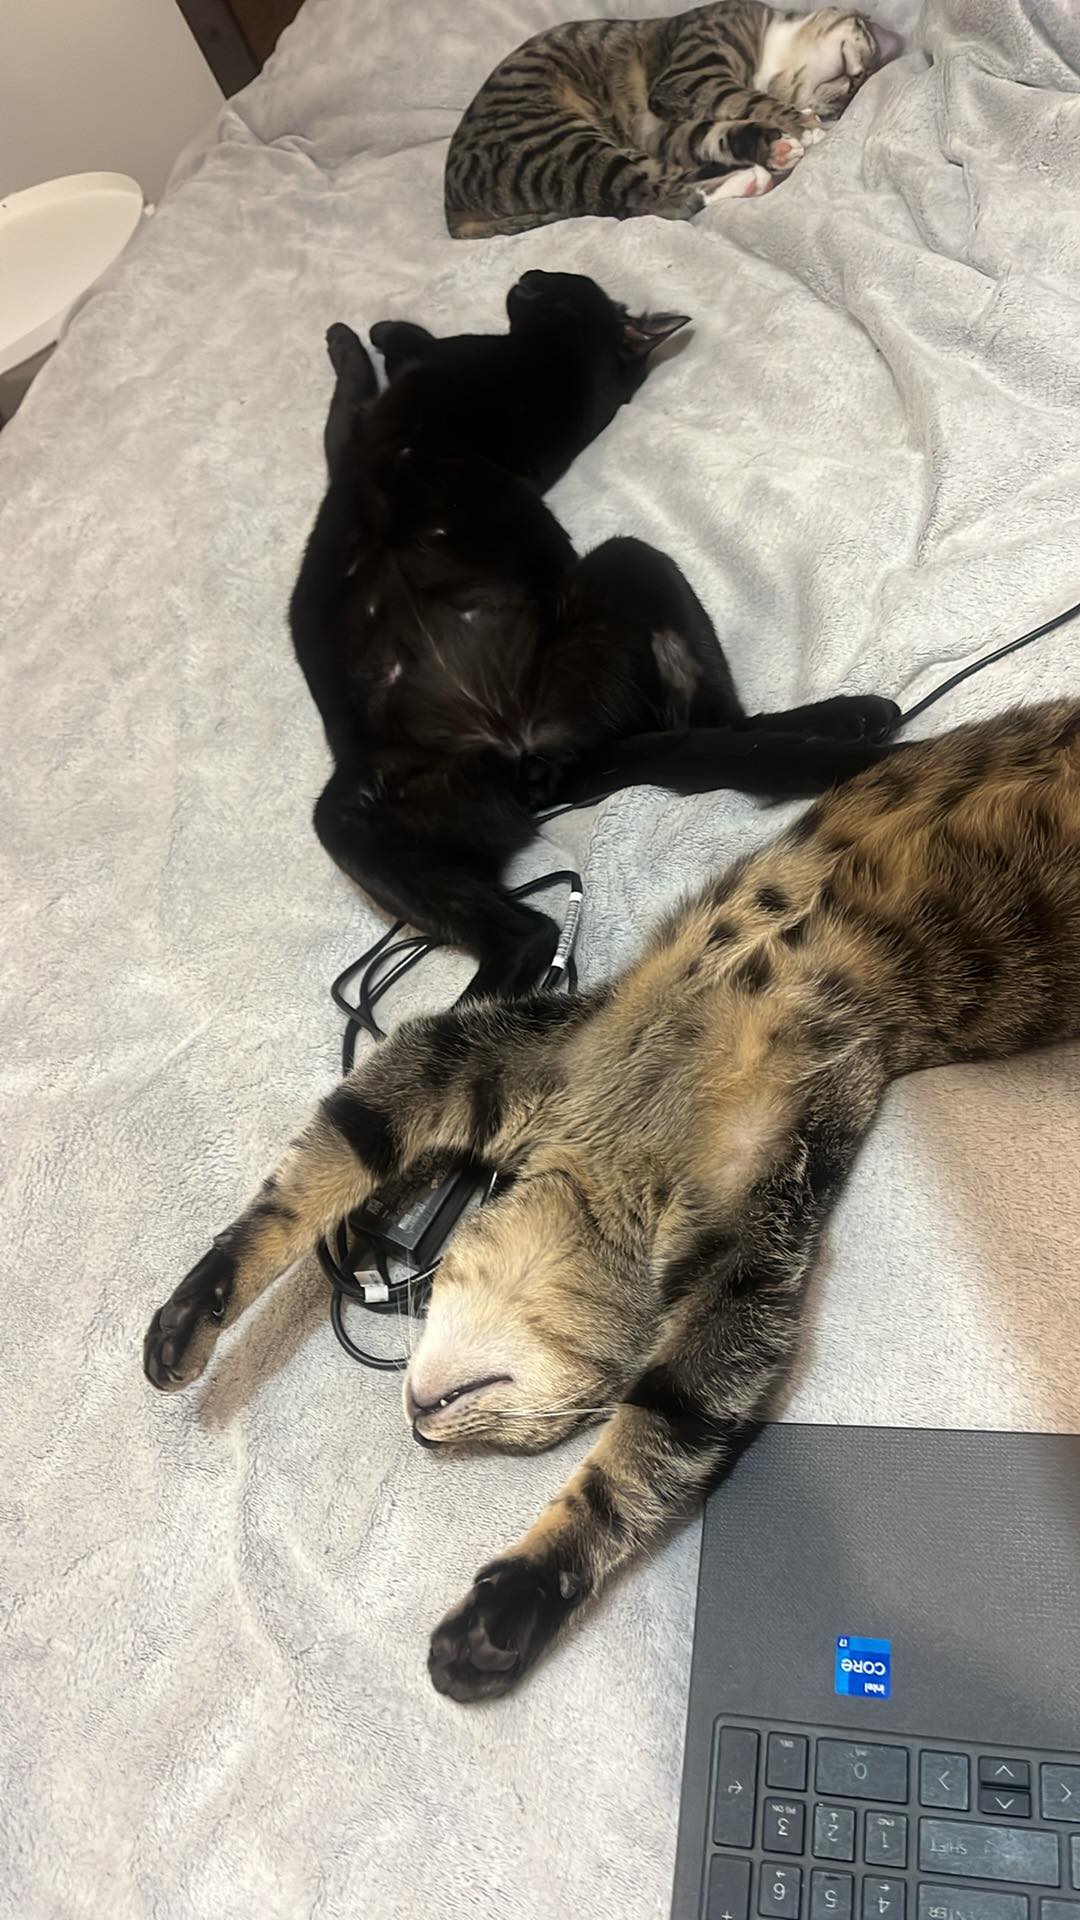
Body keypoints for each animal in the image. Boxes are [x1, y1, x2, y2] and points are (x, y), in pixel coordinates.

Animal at [144, 699, 1080, 1700]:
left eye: (536, 1440)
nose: (420, 1431)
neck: (626, 1153)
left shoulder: (752, 1270)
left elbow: (649, 1451)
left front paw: (516, 1601)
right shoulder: (484, 1055)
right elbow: (313, 1179)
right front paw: (194, 1311)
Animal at [290, 268, 898, 999]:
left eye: (557, 281)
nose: (526, 275)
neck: (568, 359)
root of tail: (538, 761)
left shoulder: (370, 416)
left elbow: (360, 379)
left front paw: (363, 333)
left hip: (628, 559)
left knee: (718, 729)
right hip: (359, 815)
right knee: (532, 925)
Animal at [445, 2, 901, 238]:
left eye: (851, 97)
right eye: (868, 55)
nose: (854, 82)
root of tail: (453, 211)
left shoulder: (665, 128)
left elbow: (712, 132)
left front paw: (788, 135)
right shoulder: (690, 74)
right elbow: (744, 98)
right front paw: (806, 127)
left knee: (656, 186)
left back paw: (764, 160)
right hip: (562, 140)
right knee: (652, 197)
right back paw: (750, 177)